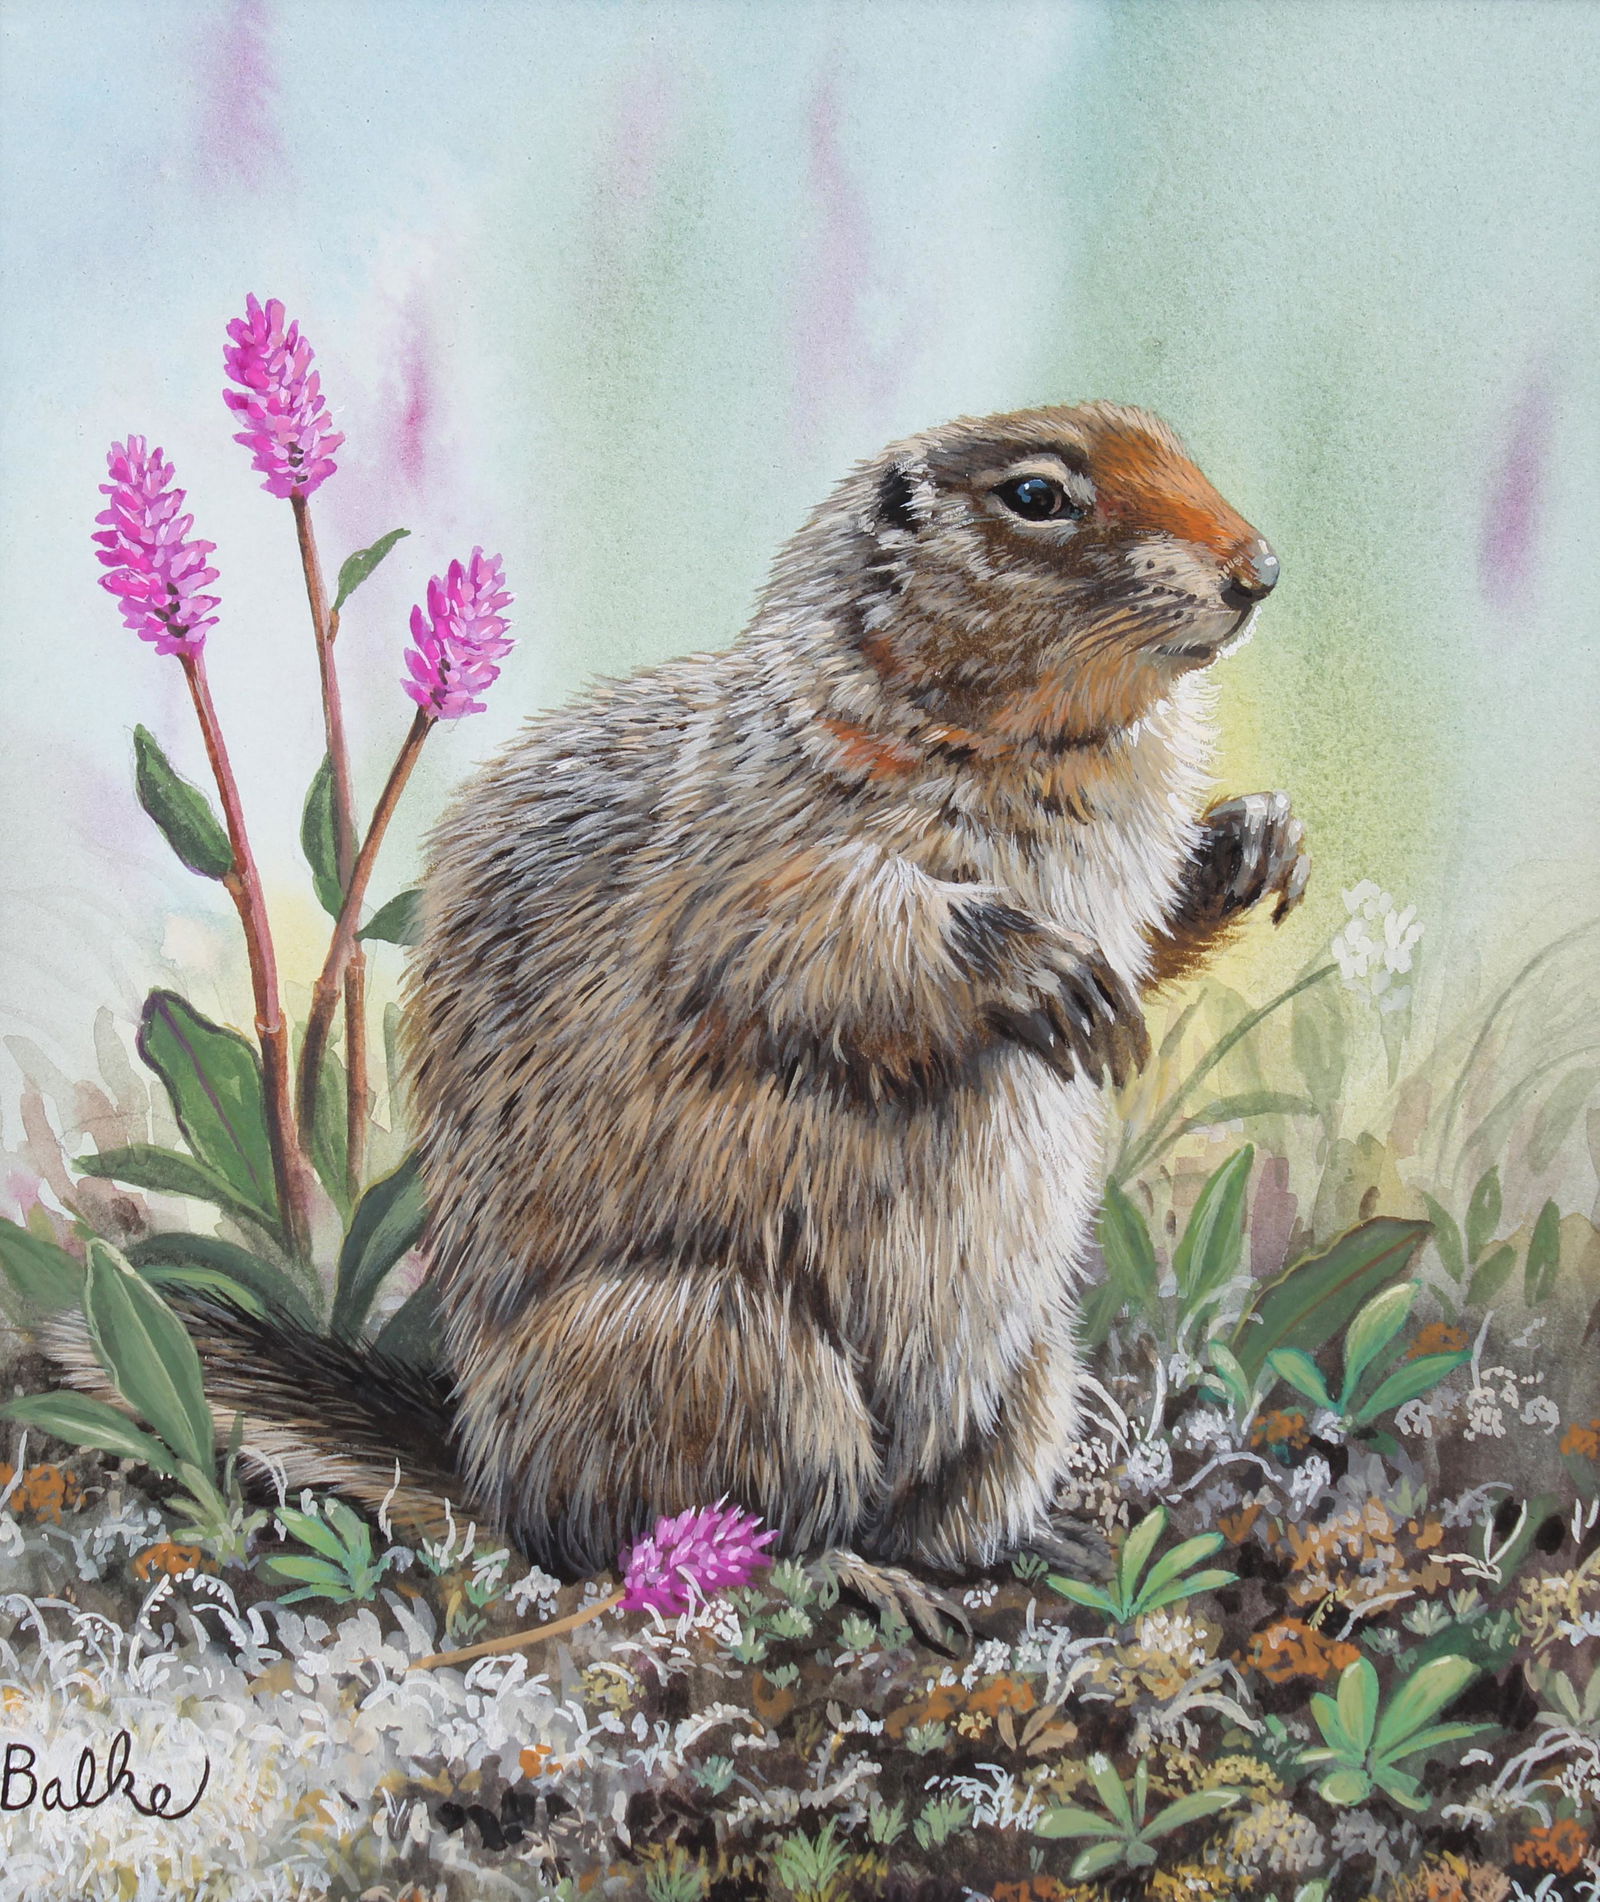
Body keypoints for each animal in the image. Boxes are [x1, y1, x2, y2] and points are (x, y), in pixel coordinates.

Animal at [53, 402, 1306, 1629]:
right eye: (1037, 496)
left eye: (1173, 440)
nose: (1261, 568)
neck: (1046, 746)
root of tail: (489, 1468)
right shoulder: (752, 850)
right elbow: (819, 935)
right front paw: (1031, 961)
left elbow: (1147, 938)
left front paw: (1255, 840)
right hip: (726, 1353)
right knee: (721, 1533)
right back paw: (854, 1575)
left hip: (1026, 1375)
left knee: (932, 1514)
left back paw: (1042, 1540)